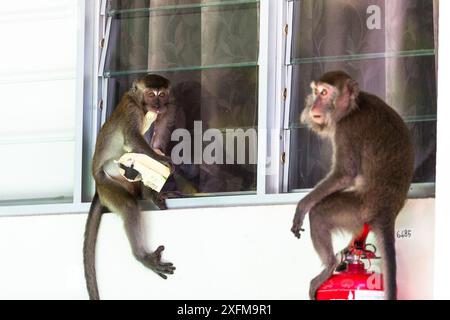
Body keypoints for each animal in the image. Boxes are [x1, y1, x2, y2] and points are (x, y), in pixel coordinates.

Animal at [84, 74, 178, 298]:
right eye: (151, 94)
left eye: (162, 94)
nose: (157, 104)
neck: (142, 107)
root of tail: (98, 188)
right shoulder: (131, 110)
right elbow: (133, 139)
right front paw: (161, 160)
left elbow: (150, 143)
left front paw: (158, 158)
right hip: (108, 185)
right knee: (128, 205)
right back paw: (142, 256)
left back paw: (148, 193)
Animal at [292, 70, 414, 300]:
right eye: (316, 91)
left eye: (324, 93)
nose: (314, 105)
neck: (352, 107)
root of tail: (388, 210)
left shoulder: (347, 128)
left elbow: (345, 173)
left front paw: (302, 206)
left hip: (358, 211)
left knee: (319, 214)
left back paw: (330, 264)